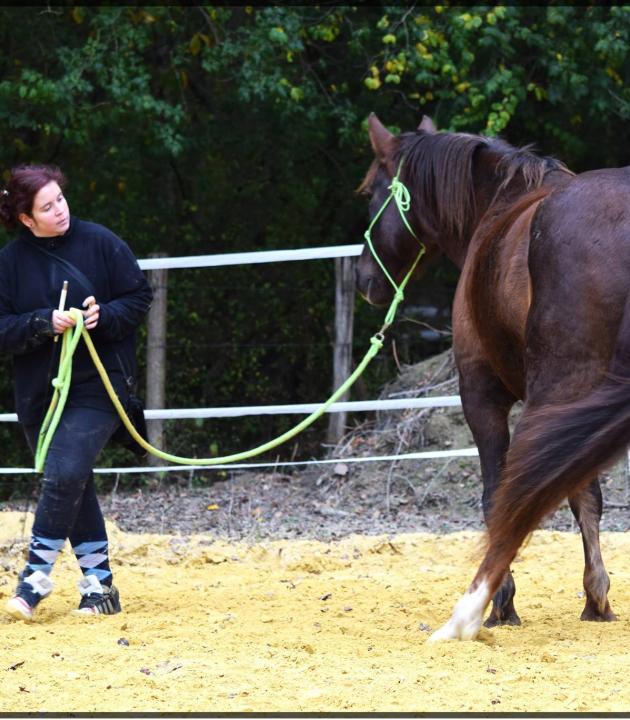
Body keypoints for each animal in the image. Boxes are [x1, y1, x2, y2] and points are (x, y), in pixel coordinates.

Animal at [358, 114, 628, 640]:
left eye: (373, 193)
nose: (364, 279)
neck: (502, 208)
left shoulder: (482, 395)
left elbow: (501, 494)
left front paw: (505, 603)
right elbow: (586, 493)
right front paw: (596, 600)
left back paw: (469, 612)